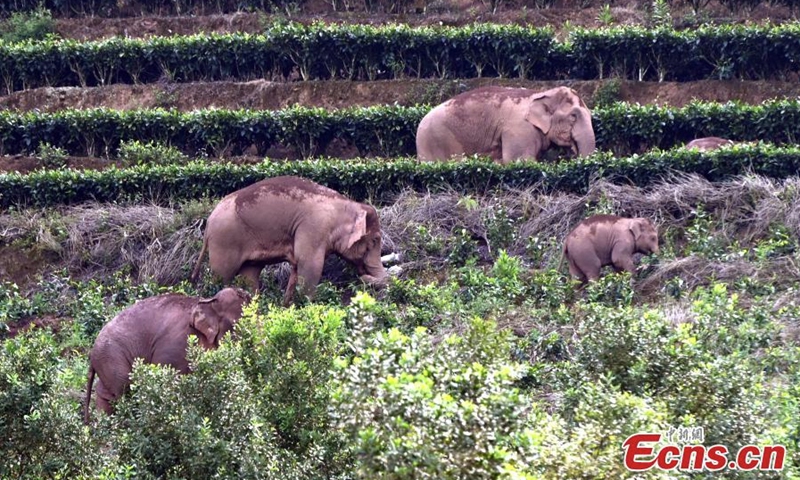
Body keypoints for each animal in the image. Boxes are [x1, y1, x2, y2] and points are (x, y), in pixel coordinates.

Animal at [84, 286, 250, 422]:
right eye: (238, 324)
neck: (206, 301)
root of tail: (92, 352)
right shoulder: (179, 343)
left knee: (106, 395)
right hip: (112, 357)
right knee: (124, 391)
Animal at [188, 174, 388, 306]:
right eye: (374, 241)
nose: (363, 277)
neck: (347, 205)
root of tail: (208, 222)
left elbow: (297, 268)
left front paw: (287, 307)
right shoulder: (313, 228)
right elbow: (310, 267)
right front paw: (306, 308)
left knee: (249, 275)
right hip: (225, 240)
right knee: (222, 276)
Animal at [418, 84, 592, 163]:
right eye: (573, 116)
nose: (573, 153)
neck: (541, 93)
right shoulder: (520, 130)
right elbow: (520, 161)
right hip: (436, 140)